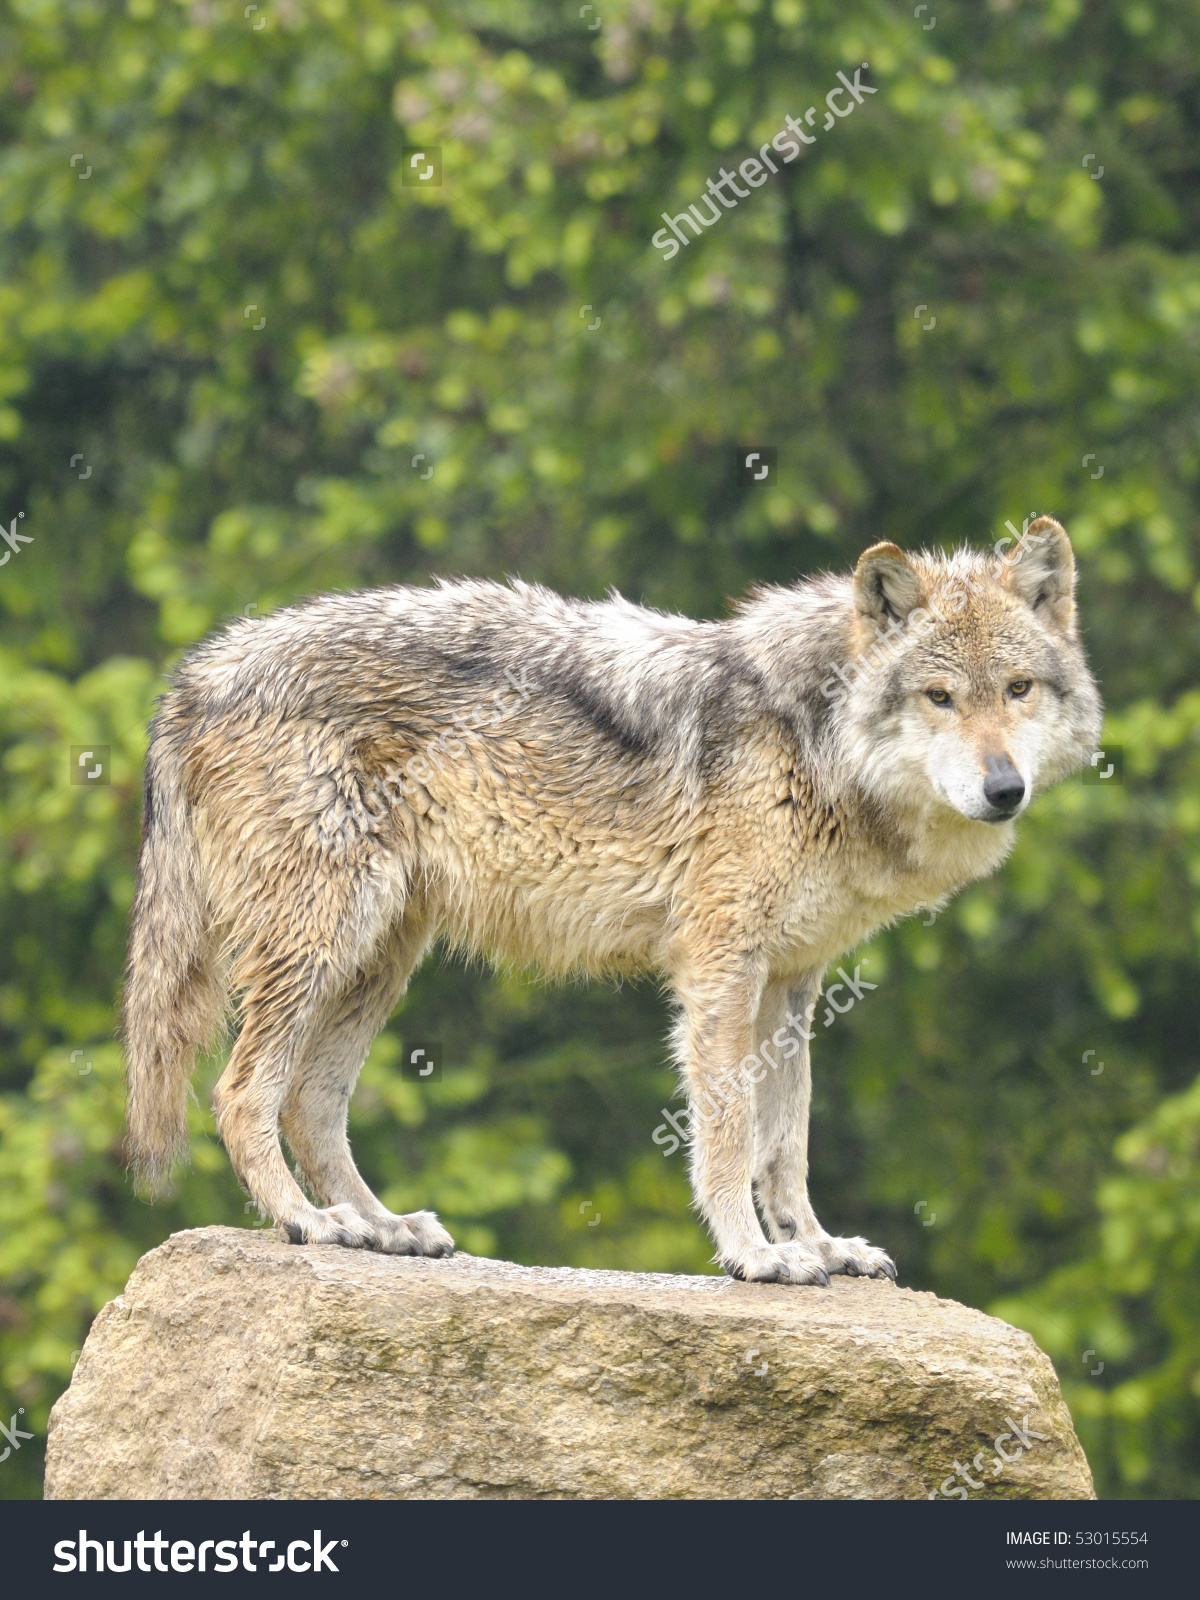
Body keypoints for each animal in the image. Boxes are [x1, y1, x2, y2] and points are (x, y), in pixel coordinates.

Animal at [124, 518, 1107, 1280]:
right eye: (940, 697)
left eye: (1017, 690)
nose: (1005, 789)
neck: (816, 739)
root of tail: (195, 674)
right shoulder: (720, 967)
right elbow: (730, 1133)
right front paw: (755, 1256)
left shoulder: (793, 983)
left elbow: (787, 1145)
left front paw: (820, 1248)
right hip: (326, 942)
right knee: (243, 1094)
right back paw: (306, 1222)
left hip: (379, 959)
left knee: (310, 1104)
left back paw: (382, 1226)